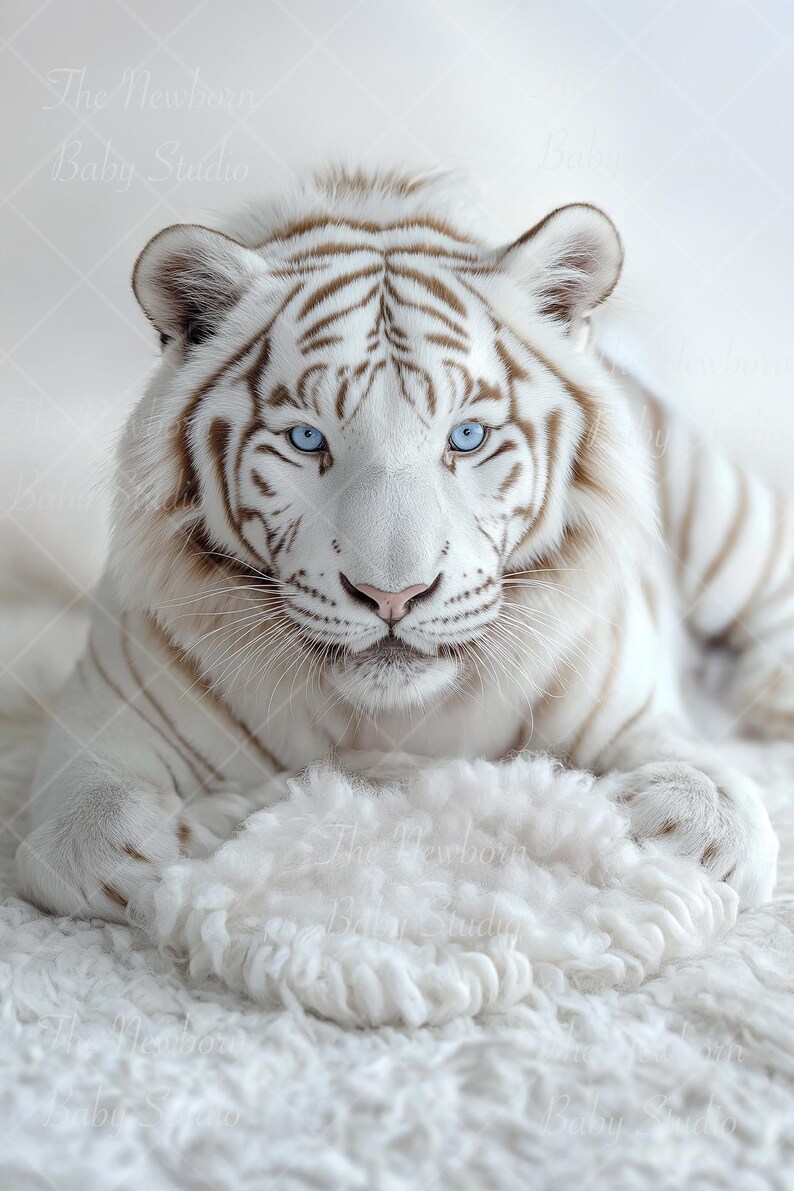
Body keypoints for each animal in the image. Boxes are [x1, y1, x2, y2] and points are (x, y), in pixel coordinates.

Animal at [17, 165, 793, 923]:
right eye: (308, 439)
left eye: (467, 435)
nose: (393, 595)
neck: (390, 721)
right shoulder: (99, 725)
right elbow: (96, 831)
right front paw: (218, 826)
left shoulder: (630, 711)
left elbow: (712, 810)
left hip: (721, 509)